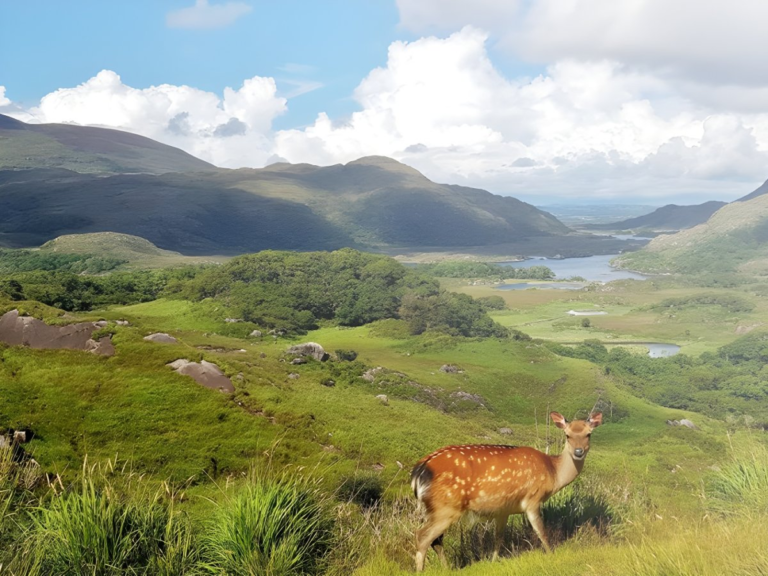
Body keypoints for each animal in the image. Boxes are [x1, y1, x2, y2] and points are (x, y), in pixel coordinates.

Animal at [410, 411, 602, 572]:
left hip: (434, 509)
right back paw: (420, 571)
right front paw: (551, 555)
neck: (553, 472)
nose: (578, 452)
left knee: (436, 540)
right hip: (446, 506)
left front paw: (493, 561)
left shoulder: (503, 509)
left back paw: (447, 569)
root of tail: (419, 471)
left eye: (588, 434)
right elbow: (542, 532)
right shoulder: (533, 499)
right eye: (567, 435)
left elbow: (499, 537)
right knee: (422, 536)